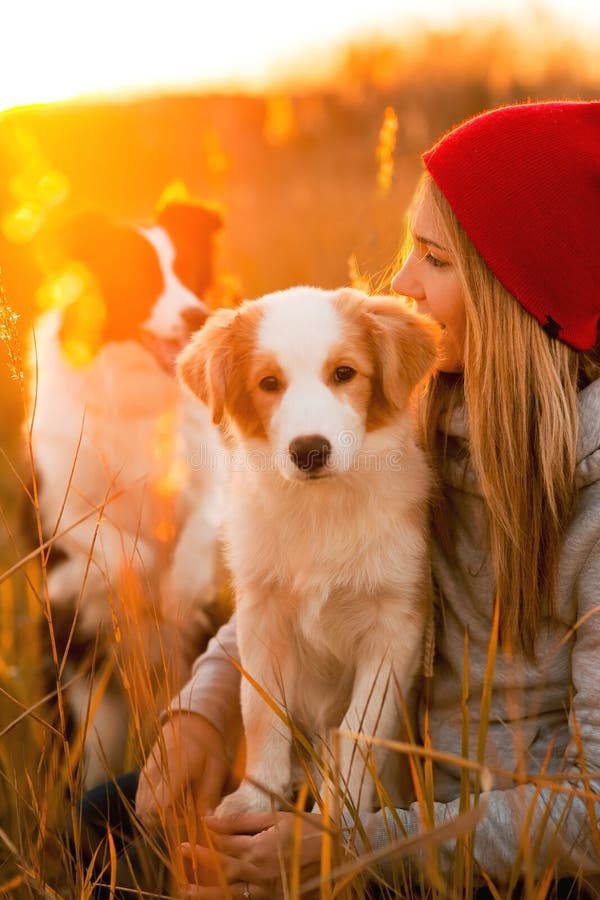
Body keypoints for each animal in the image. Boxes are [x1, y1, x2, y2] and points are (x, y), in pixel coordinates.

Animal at [31, 200, 232, 784]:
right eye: (141, 277)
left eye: (189, 271)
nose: (196, 316)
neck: (140, 396)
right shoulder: (59, 510)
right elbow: (120, 547)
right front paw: (146, 585)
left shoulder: (213, 471)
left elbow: (204, 523)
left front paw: (182, 589)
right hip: (87, 700)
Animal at [178, 288, 440, 816]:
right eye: (268, 382)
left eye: (344, 373)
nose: (309, 451)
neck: (323, 512)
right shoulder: (262, 613)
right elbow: (259, 709)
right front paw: (253, 800)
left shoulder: (396, 626)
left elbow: (359, 730)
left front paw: (339, 814)